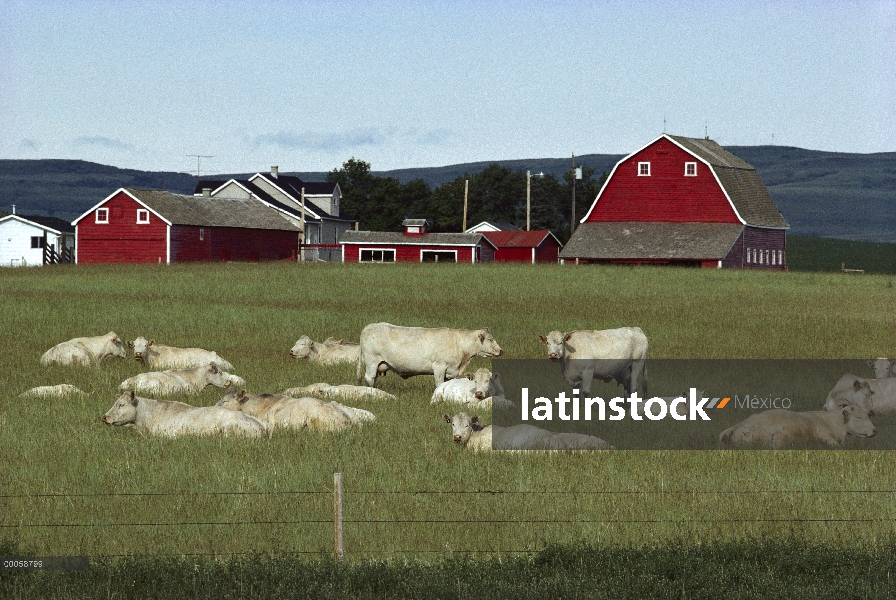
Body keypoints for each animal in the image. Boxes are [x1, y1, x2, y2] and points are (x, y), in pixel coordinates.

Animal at [358, 324, 504, 390]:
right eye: (490, 339)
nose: (501, 351)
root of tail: (368, 327)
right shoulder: (439, 367)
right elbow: (439, 384)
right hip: (372, 361)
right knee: (370, 377)